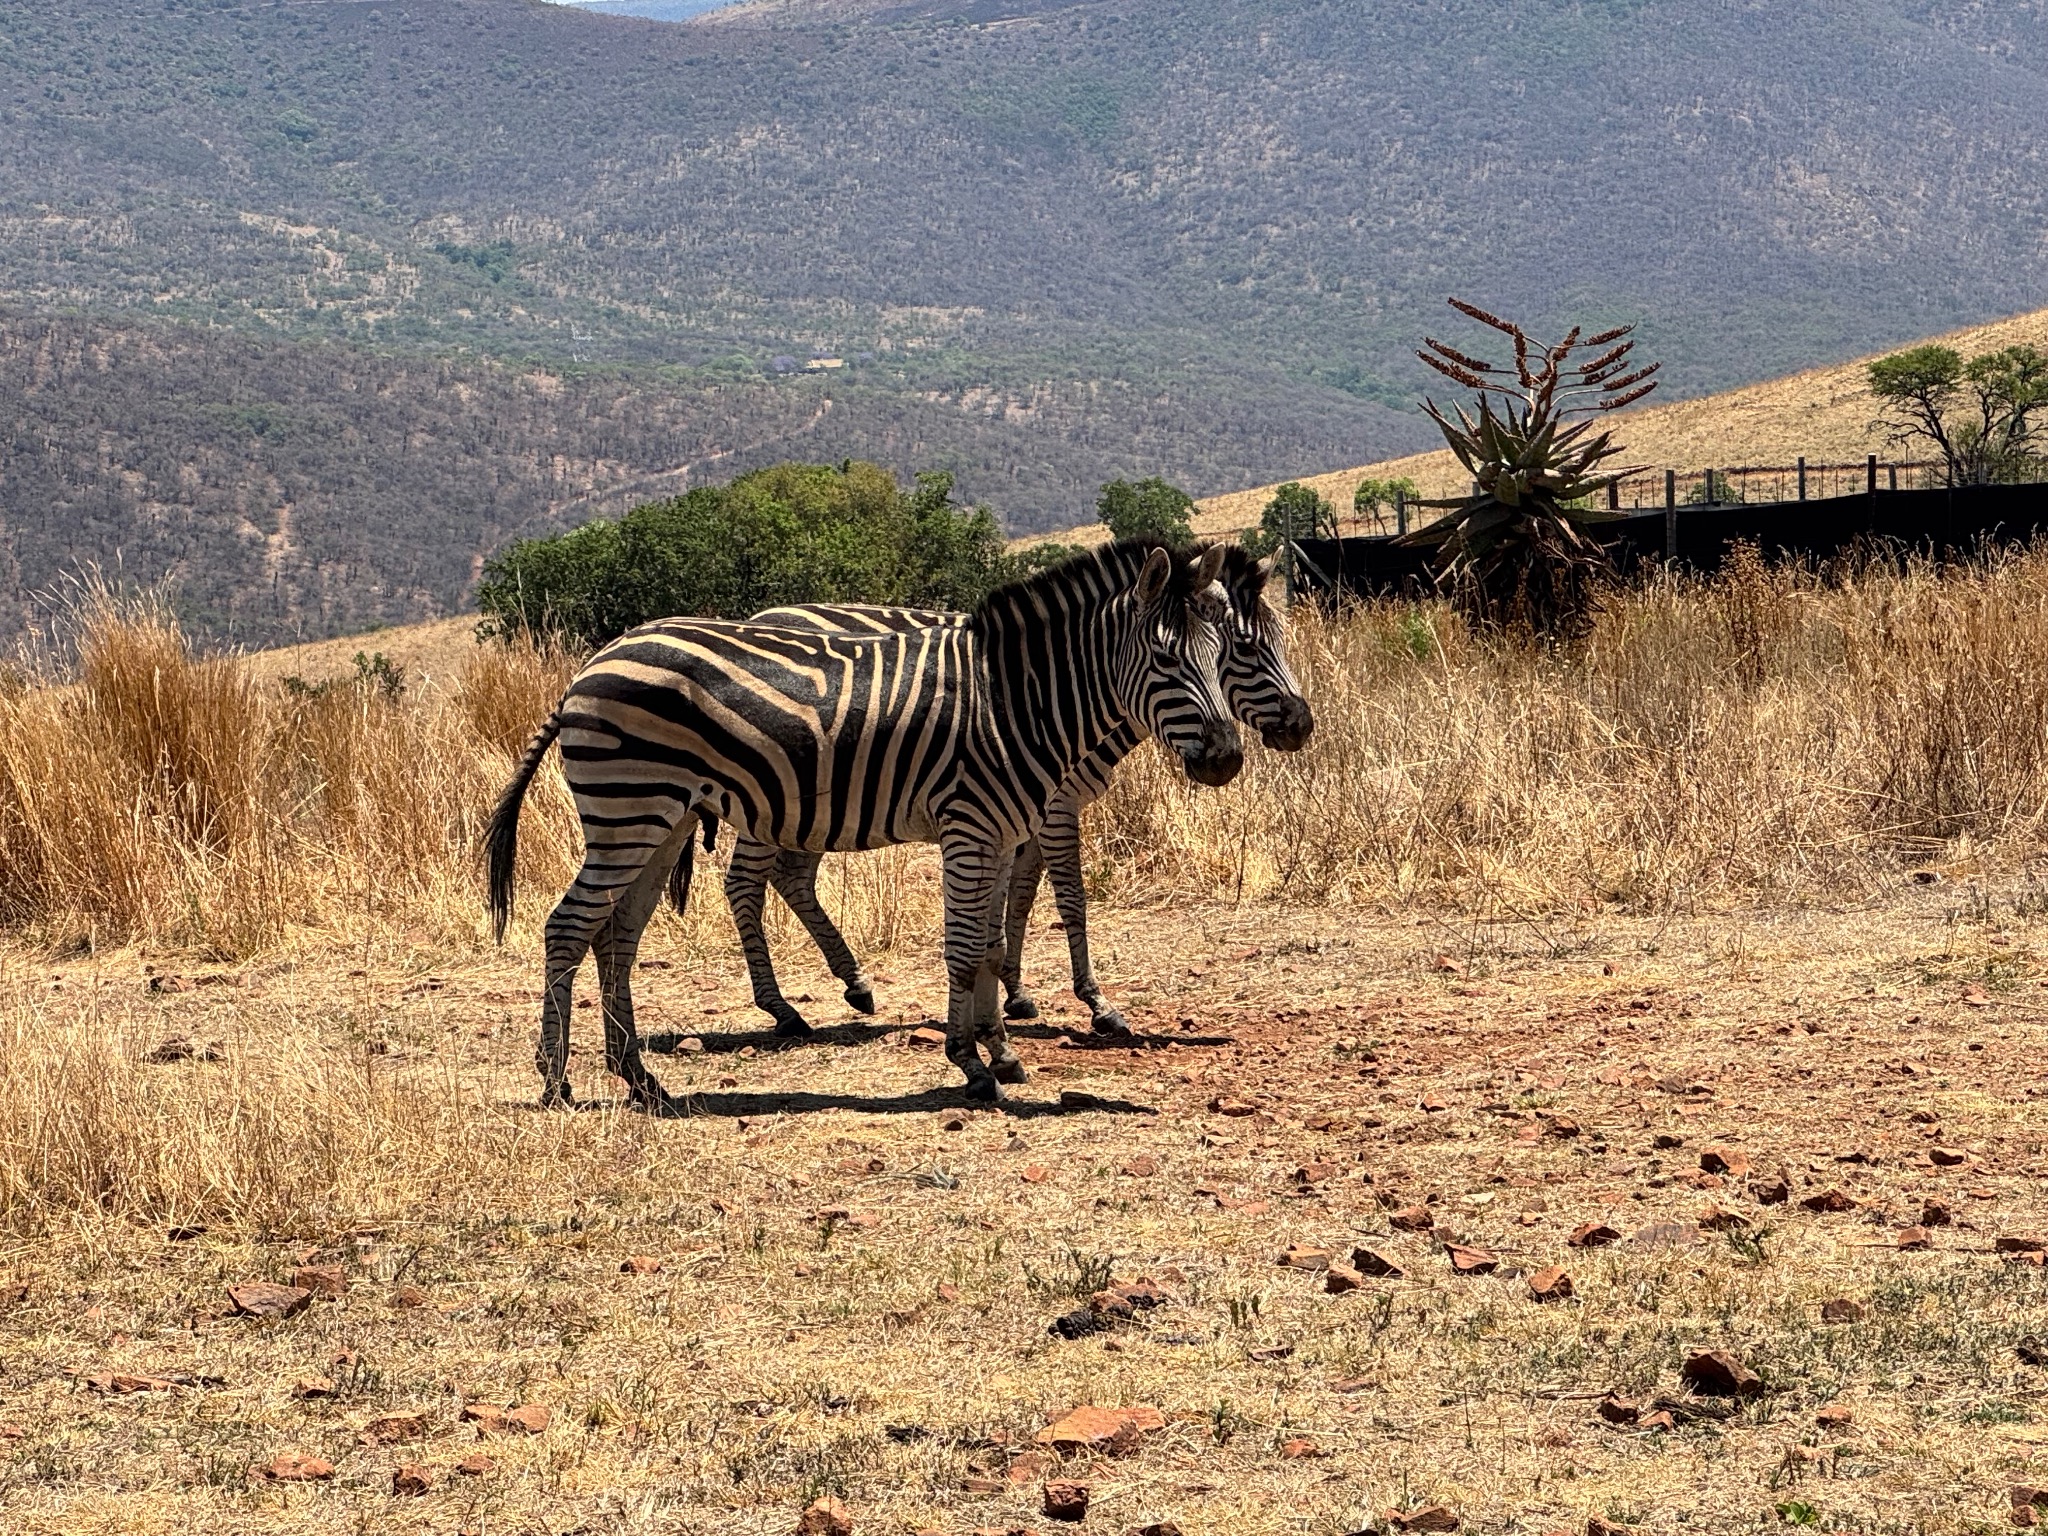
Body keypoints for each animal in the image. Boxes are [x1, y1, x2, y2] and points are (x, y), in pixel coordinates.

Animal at [484, 539, 1243, 1107]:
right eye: (1166, 660)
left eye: (1221, 658)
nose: (1229, 758)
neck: (1015, 703)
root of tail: (587, 670)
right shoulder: (970, 827)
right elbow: (965, 949)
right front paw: (971, 1064)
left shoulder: (1002, 834)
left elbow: (992, 945)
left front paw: (1002, 1052)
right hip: (629, 808)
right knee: (569, 926)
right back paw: (556, 1080)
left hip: (661, 819)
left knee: (616, 933)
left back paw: (640, 1079)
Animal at [727, 544, 1312, 1037]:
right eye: (1243, 648)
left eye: (1276, 640)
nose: (1302, 725)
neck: (1064, 692)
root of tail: (759, 618)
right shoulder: (1052, 808)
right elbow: (1070, 898)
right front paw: (1096, 1004)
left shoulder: (1029, 809)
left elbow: (1022, 896)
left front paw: (1014, 990)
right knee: (745, 883)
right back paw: (780, 1009)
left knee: (792, 875)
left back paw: (854, 984)